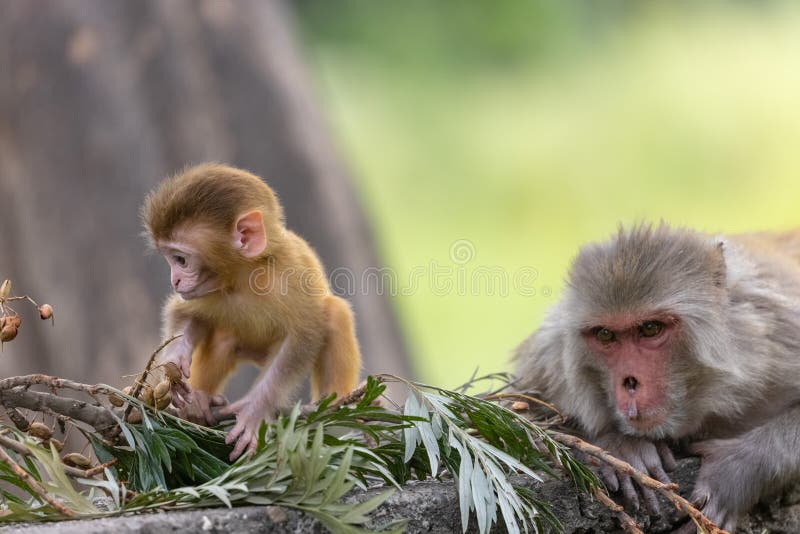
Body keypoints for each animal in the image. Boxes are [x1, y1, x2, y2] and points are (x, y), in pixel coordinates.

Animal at [142, 163, 362, 460]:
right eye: (170, 260)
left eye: (180, 260)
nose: (174, 280)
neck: (244, 276)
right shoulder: (204, 292)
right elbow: (184, 313)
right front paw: (176, 359)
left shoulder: (293, 276)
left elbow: (304, 337)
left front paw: (255, 410)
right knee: (222, 338)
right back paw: (199, 403)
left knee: (335, 313)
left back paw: (340, 403)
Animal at [514, 223, 800, 533]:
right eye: (606, 335)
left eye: (650, 329)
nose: (630, 383)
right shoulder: (548, 362)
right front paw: (624, 449)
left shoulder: (784, 334)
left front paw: (735, 470)